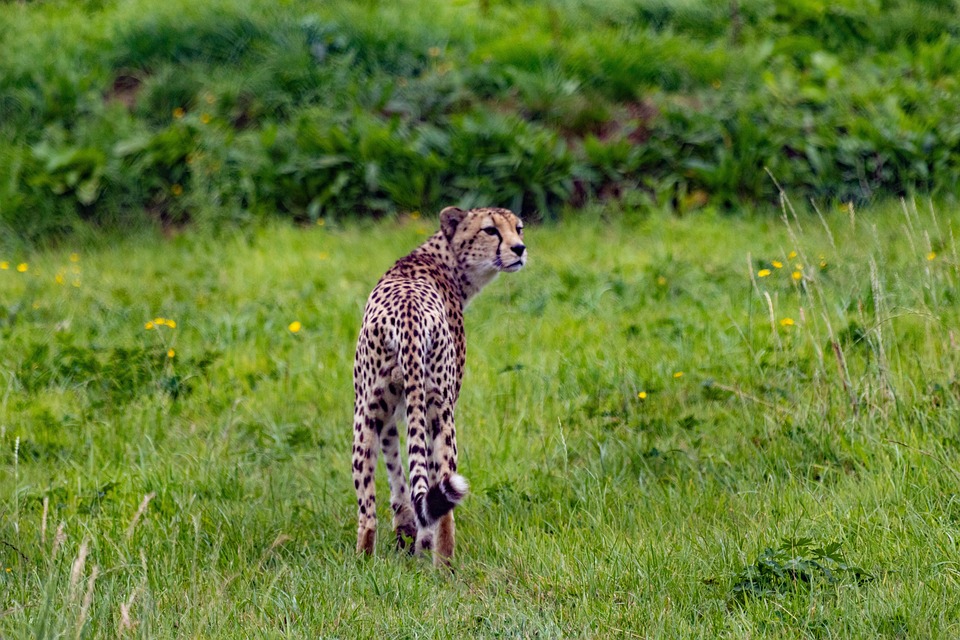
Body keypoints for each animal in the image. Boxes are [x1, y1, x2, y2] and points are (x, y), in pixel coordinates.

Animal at [351, 205, 526, 565]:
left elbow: (397, 473)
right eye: (490, 230)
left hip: (366, 412)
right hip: (442, 412)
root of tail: (407, 317)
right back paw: (443, 562)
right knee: (444, 497)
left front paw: (406, 530)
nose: (519, 249)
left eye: (518, 228)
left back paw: (363, 561)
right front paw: (419, 542)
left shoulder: (389, 413)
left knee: (367, 511)